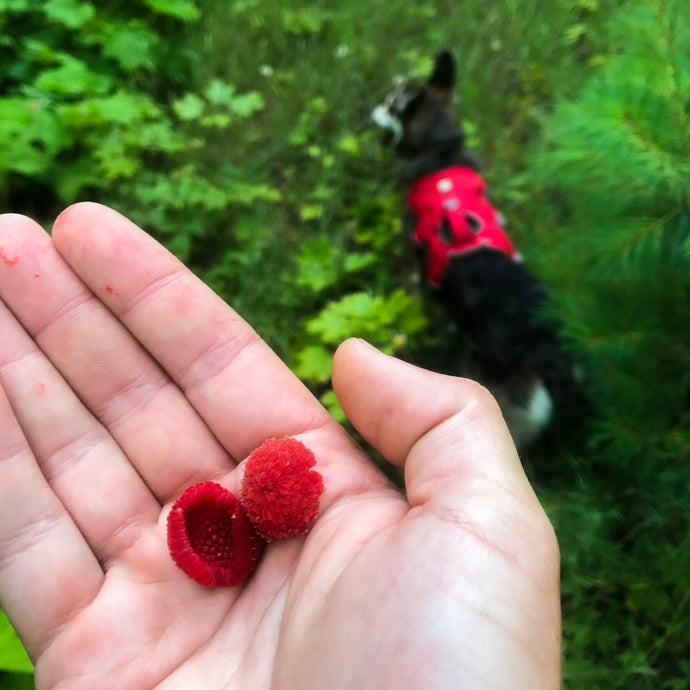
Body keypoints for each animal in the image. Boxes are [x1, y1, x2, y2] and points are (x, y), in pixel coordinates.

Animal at [370, 48, 576, 446]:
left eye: (389, 103)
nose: (371, 108)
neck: (442, 152)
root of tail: (540, 343)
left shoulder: (411, 254)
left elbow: (411, 290)